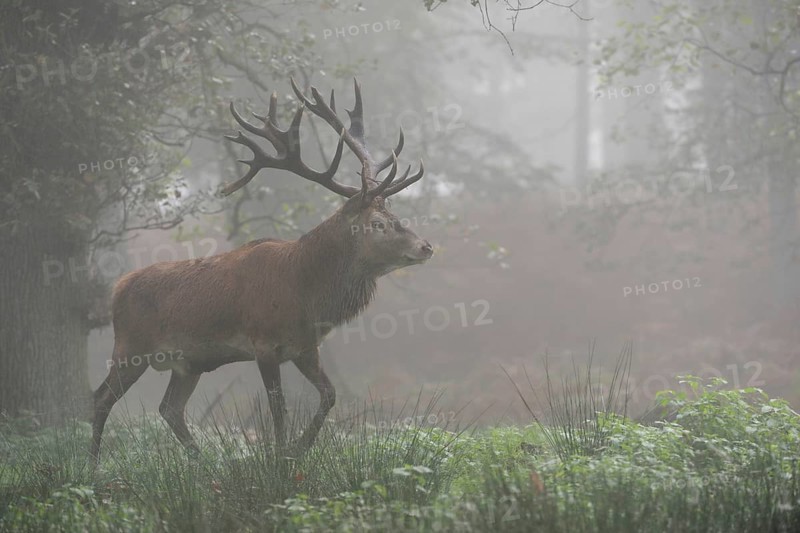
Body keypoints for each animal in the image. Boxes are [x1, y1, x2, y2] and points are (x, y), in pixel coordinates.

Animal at [89, 78, 433, 465]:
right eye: (377, 223)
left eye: (395, 215)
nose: (425, 246)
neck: (306, 292)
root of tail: (118, 288)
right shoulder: (264, 342)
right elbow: (277, 409)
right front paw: (280, 459)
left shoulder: (305, 347)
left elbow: (329, 395)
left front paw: (297, 449)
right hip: (130, 347)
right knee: (101, 399)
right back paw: (93, 465)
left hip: (187, 362)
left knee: (169, 408)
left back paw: (206, 462)